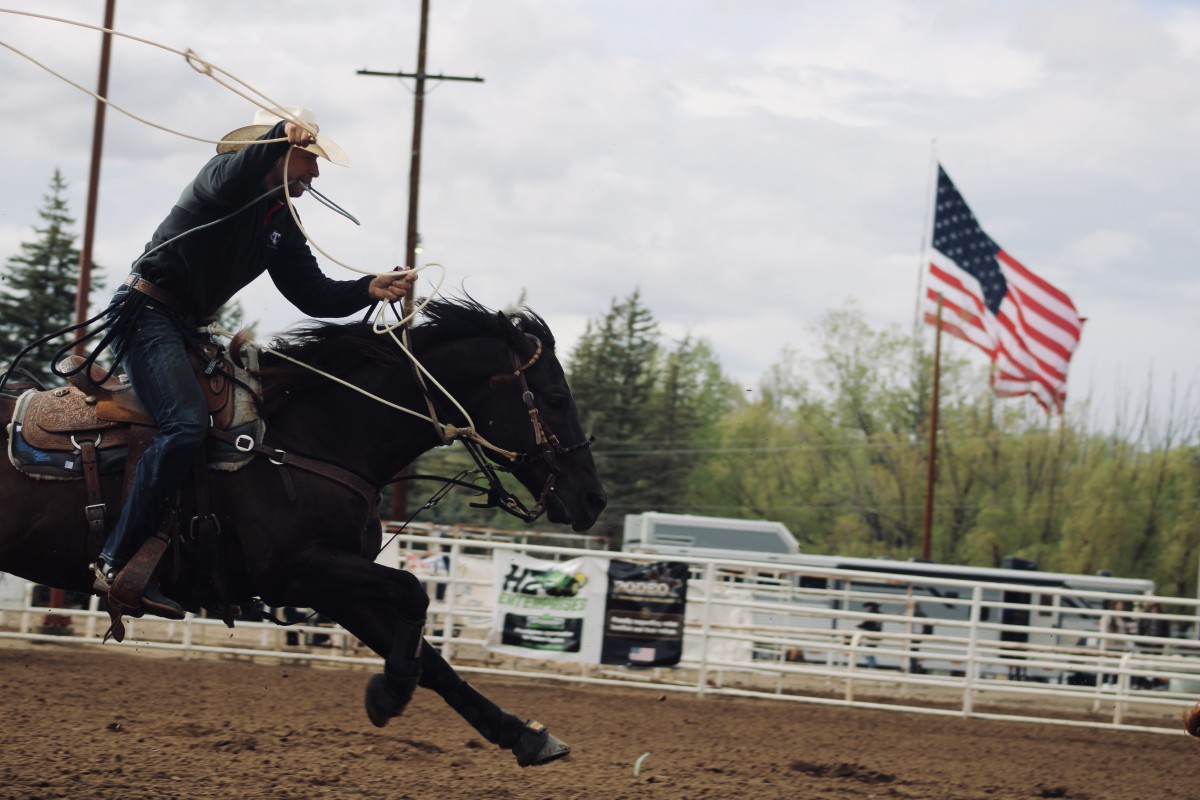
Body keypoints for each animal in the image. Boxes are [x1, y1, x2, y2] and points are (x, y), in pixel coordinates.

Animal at [0, 297, 604, 767]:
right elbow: (414, 594)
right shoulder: (296, 573)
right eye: (555, 399)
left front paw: (523, 735)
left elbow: (434, 659)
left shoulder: (335, 583)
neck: (311, 437)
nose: (593, 499)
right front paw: (391, 690)